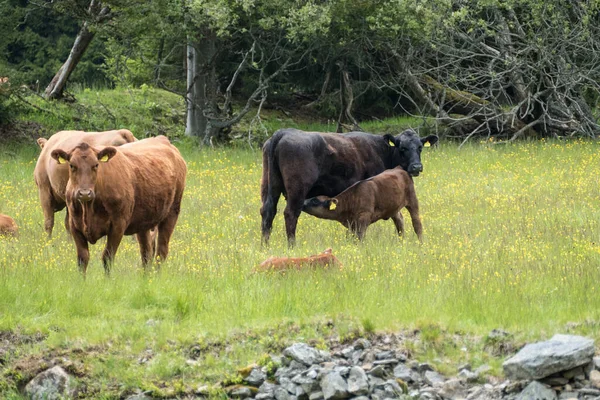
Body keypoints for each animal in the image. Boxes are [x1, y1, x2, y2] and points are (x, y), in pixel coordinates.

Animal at [51, 136, 188, 274]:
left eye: (96, 165)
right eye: (72, 165)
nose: (85, 193)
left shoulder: (118, 226)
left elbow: (107, 257)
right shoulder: (75, 226)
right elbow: (82, 259)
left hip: (172, 213)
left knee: (161, 252)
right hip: (143, 223)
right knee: (146, 253)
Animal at [258, 130, 436, 245]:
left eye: (420, 147)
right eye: (402, 147)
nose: (416, 167)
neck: (382, 150)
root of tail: (283, 133)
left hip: (269, 186)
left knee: (267, 212)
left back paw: (265, 246)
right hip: (297, 189)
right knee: (290, 213)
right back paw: (292, 246)